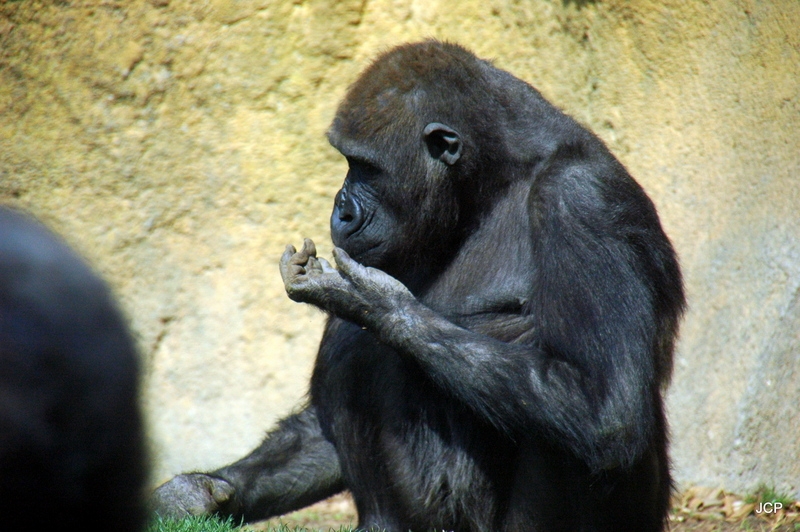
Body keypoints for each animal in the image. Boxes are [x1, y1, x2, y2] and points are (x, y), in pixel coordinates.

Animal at [153, 41, 684, 532]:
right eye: (347, 162)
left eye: (364, 166)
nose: (341, 207)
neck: (491, 177)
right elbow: (318, 430)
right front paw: (194, 494)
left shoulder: (583, 200)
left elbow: (604, 406)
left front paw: (375, 303)